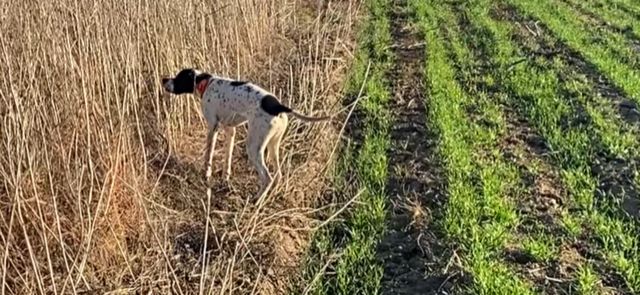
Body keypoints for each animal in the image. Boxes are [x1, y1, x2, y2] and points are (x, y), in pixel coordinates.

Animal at [161, 67, 330, 201]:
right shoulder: (230, 130)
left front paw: (207, 175)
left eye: (179, 77)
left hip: (254, 146)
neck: (206, 83)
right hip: (273, 145)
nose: (163, 80)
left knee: (267, 178)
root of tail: (279, 106)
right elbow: (227, 158)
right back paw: (271, 196)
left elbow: (208, 155)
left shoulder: (213, 127)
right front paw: (225, 178)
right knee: (278, 175)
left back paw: (257, 201)